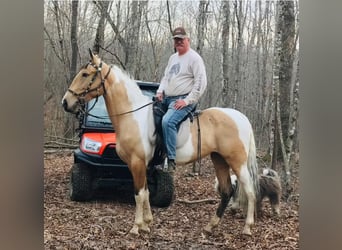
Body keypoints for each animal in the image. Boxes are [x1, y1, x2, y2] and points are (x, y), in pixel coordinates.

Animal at [60, 49, 260, 236]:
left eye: (85, 74)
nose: (65, 102)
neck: (133, 116)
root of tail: (241, 117)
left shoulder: (137, 162)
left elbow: (139, 194)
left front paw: (136, 227)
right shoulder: (140, 165)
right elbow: (146, 192)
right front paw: (147, 224)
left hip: (237, 162)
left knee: (250, 191)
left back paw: (247, 227)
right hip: (219, 160)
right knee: (226, 191)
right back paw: (211, 226)